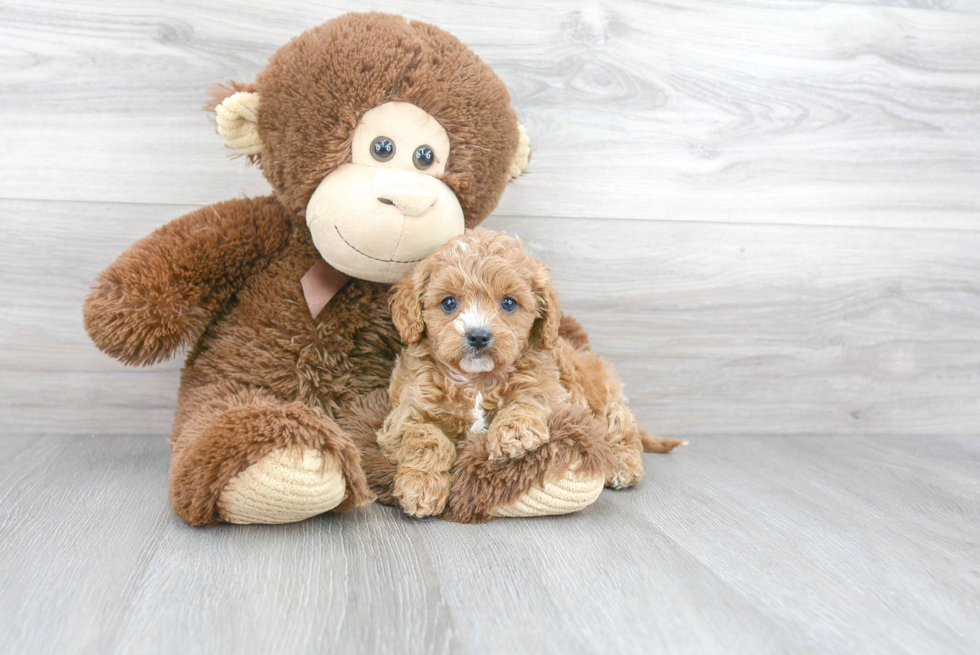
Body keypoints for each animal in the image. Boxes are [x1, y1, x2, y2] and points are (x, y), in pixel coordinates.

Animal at [378, 227, 676, 516]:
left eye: (509, 303)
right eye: (449, 303)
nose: (478, 336)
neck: (477, 380)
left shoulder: (553, 390)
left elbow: (529, 398)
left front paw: (513, 433)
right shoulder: (407, 412)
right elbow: (426, 437)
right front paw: (421, 488)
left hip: (600, 392)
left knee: (622, 428)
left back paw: (624, 466)